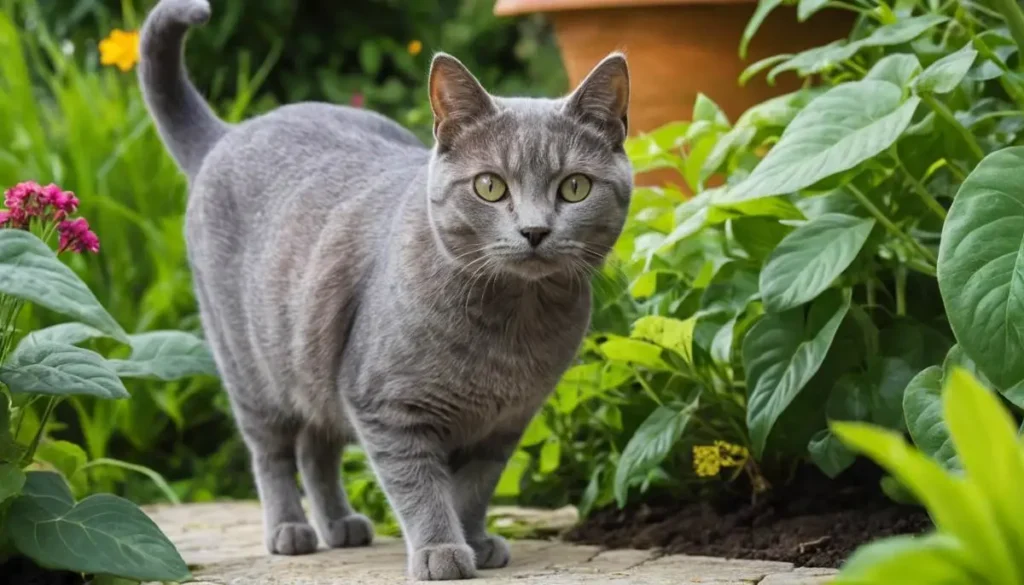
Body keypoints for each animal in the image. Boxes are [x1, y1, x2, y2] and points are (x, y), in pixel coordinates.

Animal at [137, 0, 630, 577]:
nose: (534, 231)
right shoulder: (387, 407)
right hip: (252, 367)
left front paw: (475, 540)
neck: (511, 326)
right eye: (490, 186)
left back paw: (341, 525)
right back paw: (290, 530)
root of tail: (227, 132)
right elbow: (420, 486)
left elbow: (474, 488)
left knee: (317, 449)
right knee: (273, 452)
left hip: (314, 357)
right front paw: (442, 551)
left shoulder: (503, 425)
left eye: (575, 187)